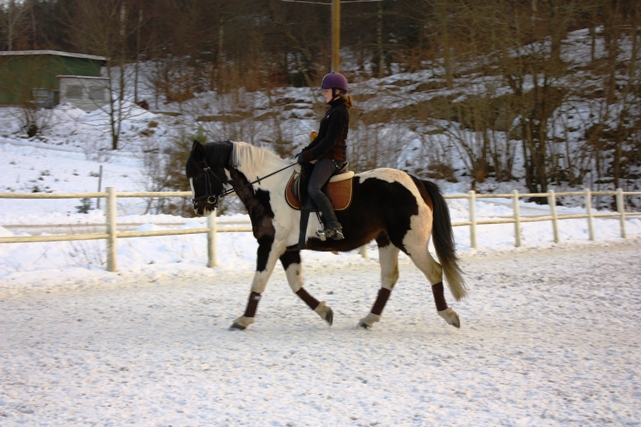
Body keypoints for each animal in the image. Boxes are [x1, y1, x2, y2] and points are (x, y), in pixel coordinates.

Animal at [186, 140, 467, 330]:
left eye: (197, 172)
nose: (199, 206)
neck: (267, 189)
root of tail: (418, 182)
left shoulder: (270, 245)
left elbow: (258, 283)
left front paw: (243, 320)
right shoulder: (287, 248)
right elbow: (296, 284)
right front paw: (325, 311)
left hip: (411, 241)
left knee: (434, 271)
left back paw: (450, 315)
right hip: (387, 240)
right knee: (389, 278)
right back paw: (368, 319)